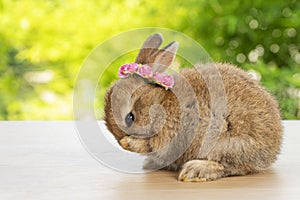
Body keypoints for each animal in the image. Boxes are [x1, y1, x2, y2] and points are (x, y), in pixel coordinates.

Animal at [104, 33, 282, 181]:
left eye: (130, 117)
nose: (121, 141)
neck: (160, 102)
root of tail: (272, 150)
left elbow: (150, 144)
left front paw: (129, 143)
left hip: (226, 141)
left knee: (229, 166)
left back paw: (195, 170)